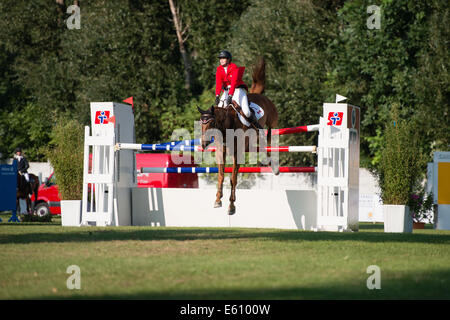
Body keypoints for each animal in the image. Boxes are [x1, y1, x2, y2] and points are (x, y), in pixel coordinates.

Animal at [197, 58, 278, 216]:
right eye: (201, 124)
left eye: (210, 123)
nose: (203, 144)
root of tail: (258, 95)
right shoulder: (221, 153)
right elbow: (221, 175)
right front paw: (218, 200)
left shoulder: (237, 154)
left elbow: (233, 179)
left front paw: (231, 206)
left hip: (272, 120)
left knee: (269, 137)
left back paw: (272, 164)